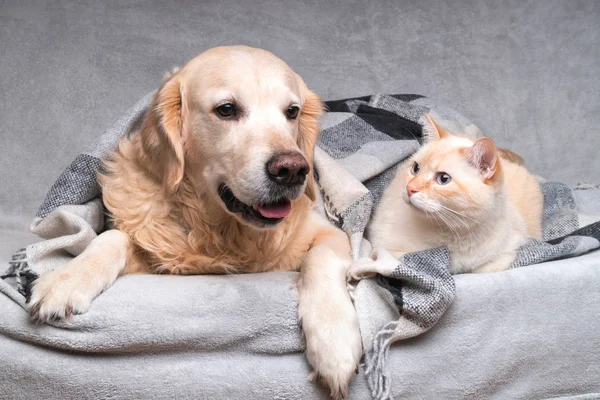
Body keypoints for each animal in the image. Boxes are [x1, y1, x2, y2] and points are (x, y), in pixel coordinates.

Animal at [27, 46, 360, 396]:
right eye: (226, 110)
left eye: (292, 111)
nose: (293, 170)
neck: (218, 228)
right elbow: (111, 238)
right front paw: (68, 279)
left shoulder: (328, 233)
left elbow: (319, 259)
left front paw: (334, 343)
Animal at [366, 114, 544, 274]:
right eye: (416, 168)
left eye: (443, 179)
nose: (410, 188)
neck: (453, 232)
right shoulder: (384, 248)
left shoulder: (508, 250)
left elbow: (483, 268)